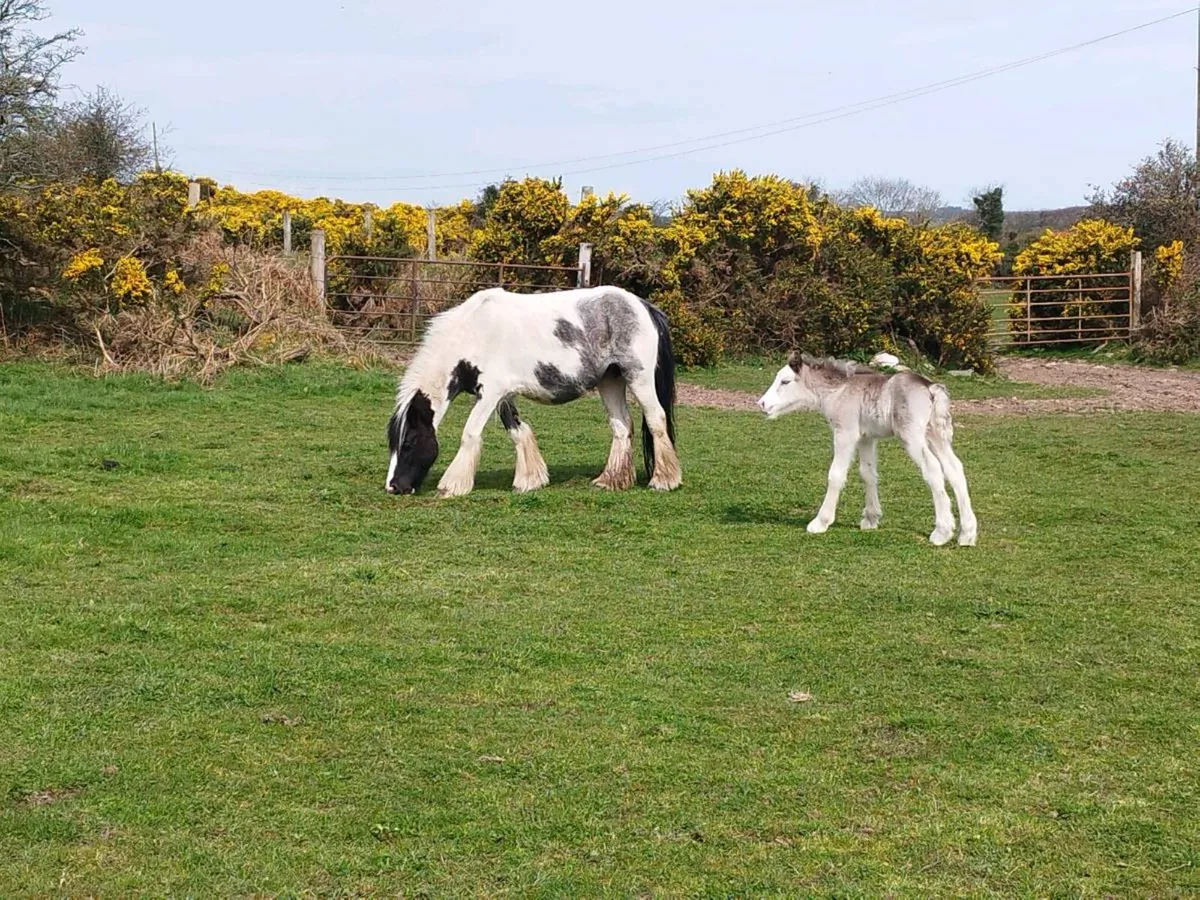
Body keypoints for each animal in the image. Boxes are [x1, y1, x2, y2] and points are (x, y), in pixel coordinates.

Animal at [385, 286, 681, 498]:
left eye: (409, 442)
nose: (394, 487)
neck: (475, 333)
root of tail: (643, 306)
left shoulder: (489, 394)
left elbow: (470, 433)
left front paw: (452, 485)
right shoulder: (503, 396)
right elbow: (517, 430)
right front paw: (530, 481)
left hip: (638, 378)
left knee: (656, 420)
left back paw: (664, 481)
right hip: (611, 381)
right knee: (622, 426)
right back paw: (611, 480)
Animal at [757, 352, 977, 546]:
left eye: (785, 382)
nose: (761, 404)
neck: (839, 391)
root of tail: (931, 388)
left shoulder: (845, 433)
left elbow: (836, 475)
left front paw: (820, 522)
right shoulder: (866, 438)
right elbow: (868, 474)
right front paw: (871, 519)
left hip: (912, 437)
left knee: (933, 469)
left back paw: (942, 532)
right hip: (936, 435)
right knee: (954, 469)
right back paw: (967, 534)